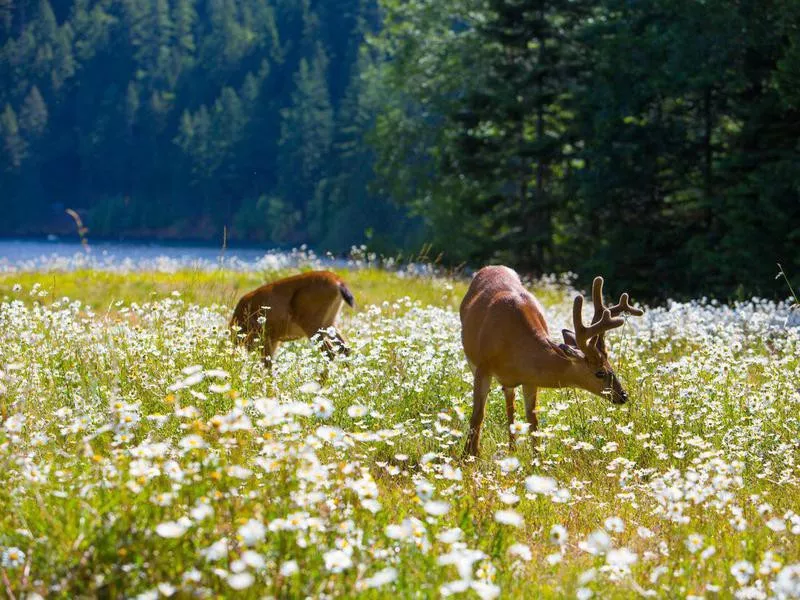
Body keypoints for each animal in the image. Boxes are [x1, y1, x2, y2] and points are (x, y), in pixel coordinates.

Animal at [456, 264, 644, 458]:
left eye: (610, 365)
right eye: (600, 372)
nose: (623, 395)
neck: (513, 347)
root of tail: (492, 266)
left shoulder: (530, 380)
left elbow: (533, 419)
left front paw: (537, 458)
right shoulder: (482, 367)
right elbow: (478, 414)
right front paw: (468, 456)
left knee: (510, 402)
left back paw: (512, 448)